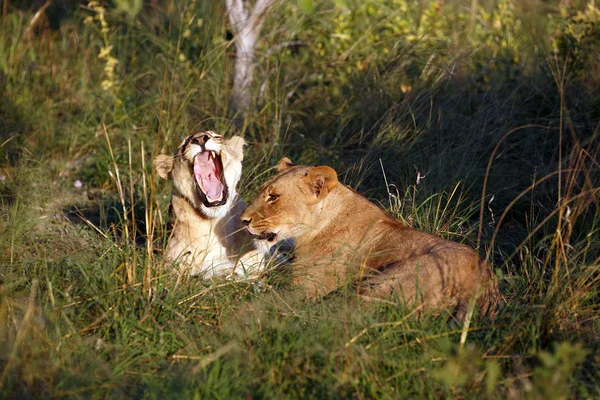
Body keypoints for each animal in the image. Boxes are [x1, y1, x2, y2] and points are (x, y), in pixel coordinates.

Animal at [241, 158, 500, 318]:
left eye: (273, 197)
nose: (243, 220)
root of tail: (483, 285)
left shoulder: (305, 288)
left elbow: (265, 302)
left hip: (381, 283)